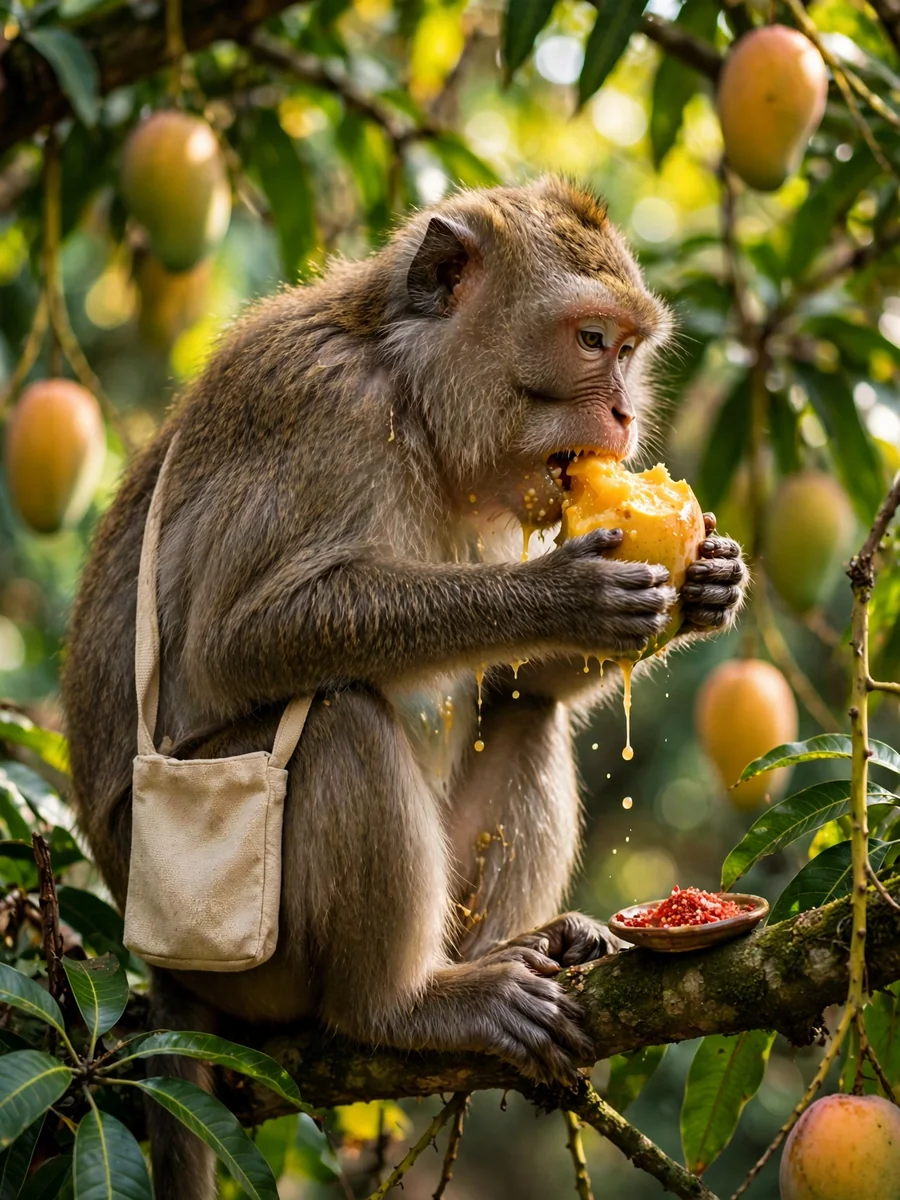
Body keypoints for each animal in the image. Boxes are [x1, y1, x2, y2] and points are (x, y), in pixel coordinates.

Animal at [61, 176, 747, 1199]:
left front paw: (709, 584)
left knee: (527, 716)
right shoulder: (323, 413)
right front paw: (561, 594)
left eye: (631, 352)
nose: (625, 416)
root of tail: (166, 976)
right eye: (592, 341)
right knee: (339, 717)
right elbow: (237, 640)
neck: (410, 394)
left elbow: (512, 676)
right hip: (246, 962)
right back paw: (404, 1005)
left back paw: (524, 950)